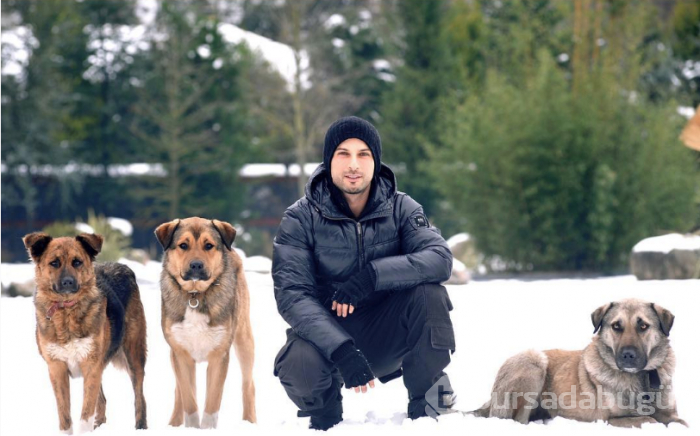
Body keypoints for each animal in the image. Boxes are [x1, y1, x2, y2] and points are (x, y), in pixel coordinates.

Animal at [23, 232, 148, 433]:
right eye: (54, 263)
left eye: (77, 262)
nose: (68, 282)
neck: (67, 311)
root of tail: (123, 266)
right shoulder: (57, 369)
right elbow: (65, 417)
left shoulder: (90, 365)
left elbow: (85, 414)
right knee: (102, 400)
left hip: (133, 355)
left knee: (139, 397)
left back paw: (140, 426)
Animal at [155, 217, 256, 428]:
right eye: (183, 245)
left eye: (208, 245)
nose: (196, 266)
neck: (195, 295)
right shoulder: (181, 353)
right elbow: (188, 399)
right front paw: (192, 428)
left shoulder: (219, 355)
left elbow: (212, 402)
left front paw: (207, 429)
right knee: (179, 391)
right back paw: (174, 423)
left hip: (244, 340)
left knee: (248, 385)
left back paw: (250, 422)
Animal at [471, 299, 686, 428]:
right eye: (616, 326)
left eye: (643, 326)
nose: (628, 355)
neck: (640, 377)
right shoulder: (610, 419)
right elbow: (650, 419)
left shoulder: (670, 412)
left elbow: (680, 422)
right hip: (534, 361)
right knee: (517, 420)